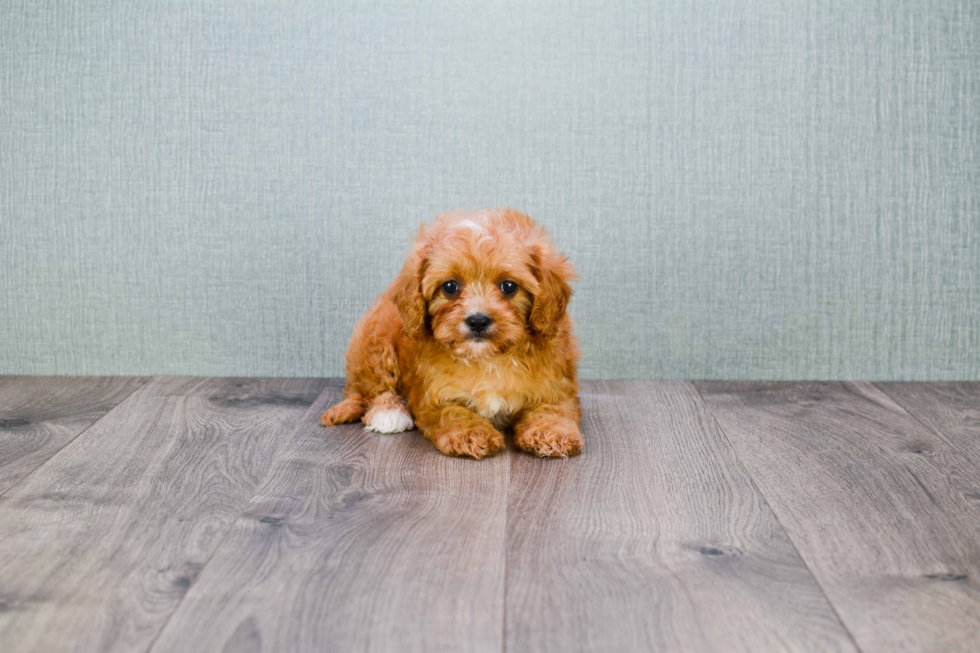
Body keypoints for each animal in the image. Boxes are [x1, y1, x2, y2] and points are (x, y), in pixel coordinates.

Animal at [322, 209, 580, 458]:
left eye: (509, 286)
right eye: (450, 286)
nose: (478, 320)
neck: (488, 359)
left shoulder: (556, 387)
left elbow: (552, 409)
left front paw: (552, 434)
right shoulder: (433, 396)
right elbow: (453, 413)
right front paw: (472, 434)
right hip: (375, 338)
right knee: (373, 387)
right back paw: (388, 412)